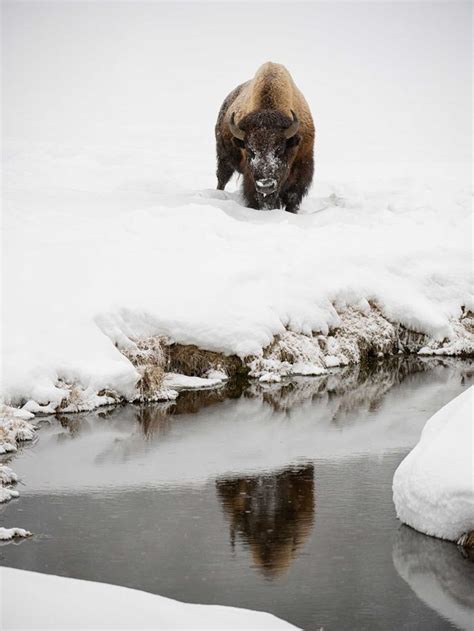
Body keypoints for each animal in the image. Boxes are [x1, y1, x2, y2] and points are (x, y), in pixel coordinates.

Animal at [215, 62, 314, 214]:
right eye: (250, 151)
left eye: (279, 150)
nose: (265, 186)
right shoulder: (250, 178)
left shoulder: (303, 166)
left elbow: (292, 197)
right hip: (223, 158)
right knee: (222, 179)